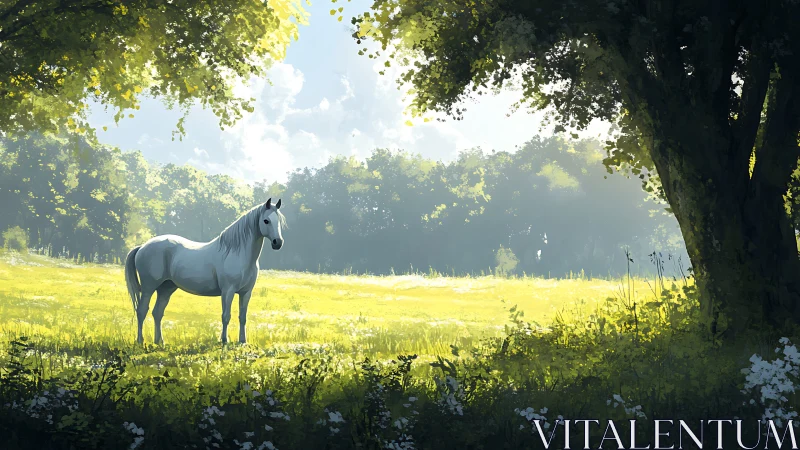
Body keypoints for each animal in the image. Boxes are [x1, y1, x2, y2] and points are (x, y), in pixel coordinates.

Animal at [124, 198, 286, 345]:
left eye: (279, 221)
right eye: (266, 221)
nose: (278, 243)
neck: (237, 252)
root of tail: (142, 246)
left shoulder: (246, 292)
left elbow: (242, 317)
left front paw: (242, 341)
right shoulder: (228, 291)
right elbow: (226, 316)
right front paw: (224, 340)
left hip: (166, 288)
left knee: (157, 313)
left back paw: (160, 342)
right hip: (149, 288)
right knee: (142, 311)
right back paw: (140, 341)